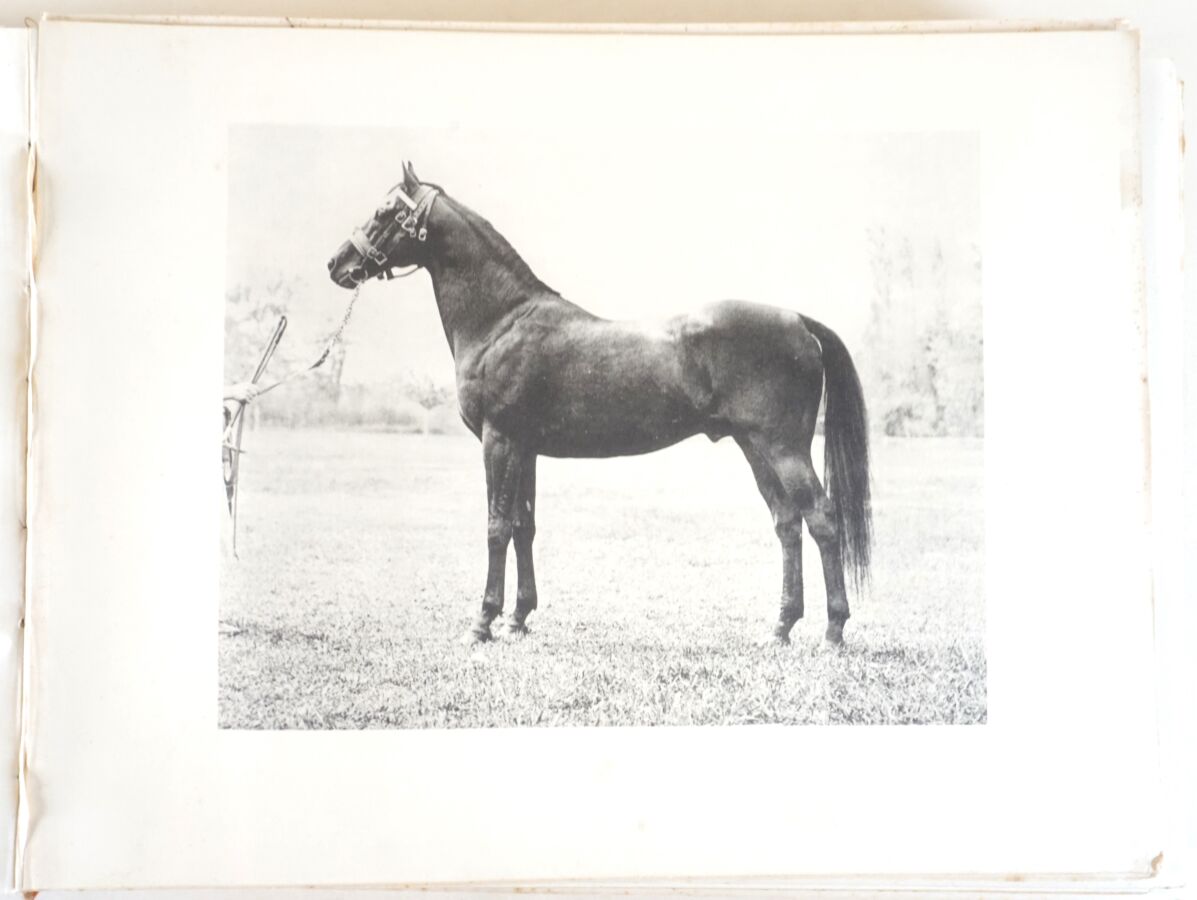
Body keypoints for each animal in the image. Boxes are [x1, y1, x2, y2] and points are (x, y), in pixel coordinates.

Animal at [327, 162, 871, 645]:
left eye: (384, 212)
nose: (337, 264)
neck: (502, 321)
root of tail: (797, 320)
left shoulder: (498, 440)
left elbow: (496, 527)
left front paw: (482, 622)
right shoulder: (524, 447)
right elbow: (524, 525)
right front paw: (518, 619)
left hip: (784, 449)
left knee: (822, 519)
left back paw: (833, 631)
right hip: (754, 447)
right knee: (786, 523)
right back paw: (780, 627)